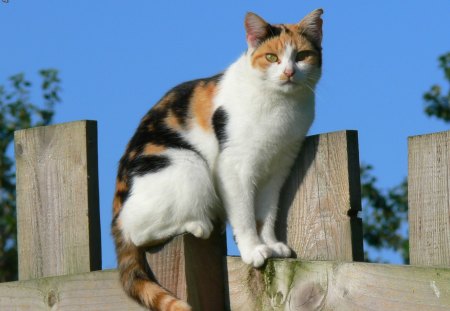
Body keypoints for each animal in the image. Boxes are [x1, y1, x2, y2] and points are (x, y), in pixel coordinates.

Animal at [112, 8, 324, 310]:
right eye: (272, 57)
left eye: (303, 55)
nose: (288, 72)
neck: (281, 107)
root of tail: (116, 213)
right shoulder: (234, 167)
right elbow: (245, 214)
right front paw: (253, 249)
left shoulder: (279, 167)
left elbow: (267, 213)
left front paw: (270, 244)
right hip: (187, 164)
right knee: (139, 231)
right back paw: (197, 224)